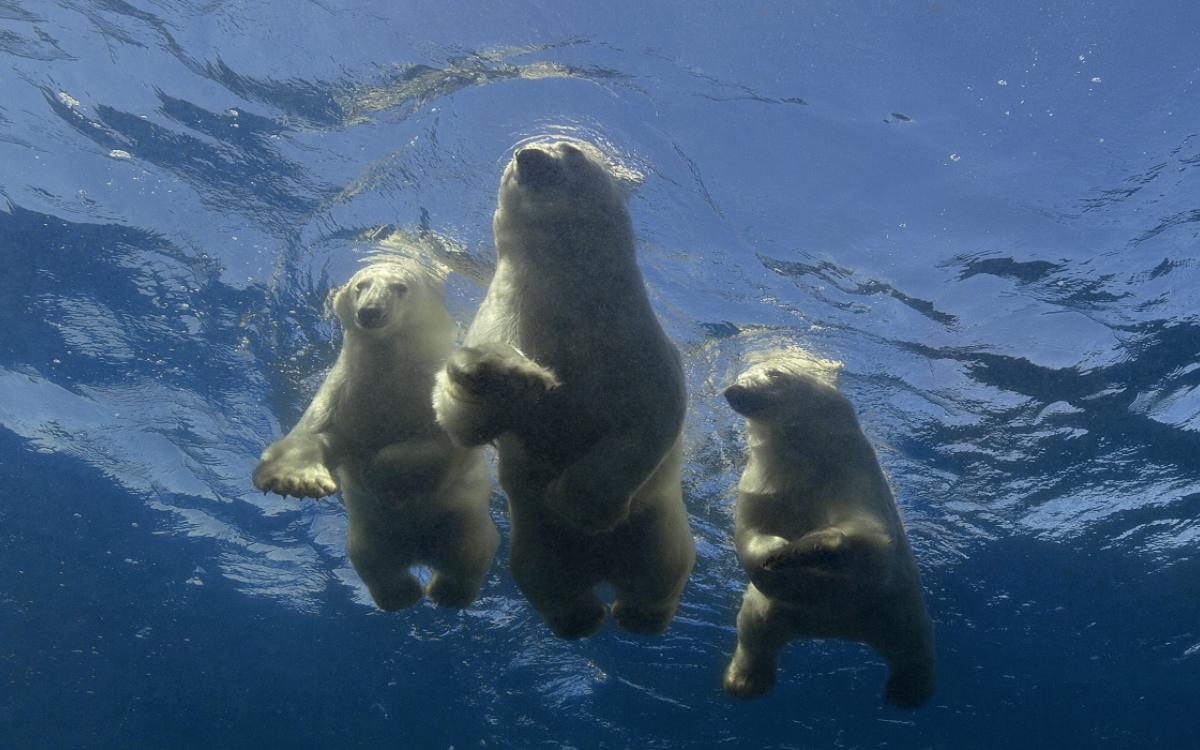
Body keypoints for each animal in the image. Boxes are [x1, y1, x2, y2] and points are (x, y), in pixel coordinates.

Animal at [253, 259, 497, 611]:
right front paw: (297, 480)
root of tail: (418, 552)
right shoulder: (347, 388)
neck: (389, 363)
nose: (370, 312)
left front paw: (382, 470)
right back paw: (404, 593)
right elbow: (318, 433)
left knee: (467, 559)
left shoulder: (431, 387)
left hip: (461, 523)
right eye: (361, 285)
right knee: (378, 568)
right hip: (370, 538)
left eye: (400, 287)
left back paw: (443, 592)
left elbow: (440, 443)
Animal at [432, 140, 695, 639]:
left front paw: (574, 504)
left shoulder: (633, 345)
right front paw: (507, 377)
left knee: (658, 575)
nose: (529, 156)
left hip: (657, 531)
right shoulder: (503, 318)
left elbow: (648, 419)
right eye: (513, 156)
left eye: (571, 149)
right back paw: (582, 615)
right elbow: (464, 422)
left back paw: (632, 614)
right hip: (533, 545)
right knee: (550, 583)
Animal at [720, 351, 935, 708]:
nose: (733, 390)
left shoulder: (848, 472)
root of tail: (833, 628)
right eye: (741, 373)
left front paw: (799, 549)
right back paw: (743, 680)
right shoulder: (762, 484)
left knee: (912, 647)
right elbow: (750, 534)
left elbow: (865, 531)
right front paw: (774, 552)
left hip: (895, 606)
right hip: (769, 610)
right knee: (753, 633)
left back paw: (906, 690)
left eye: (774, 373)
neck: (799, 450)